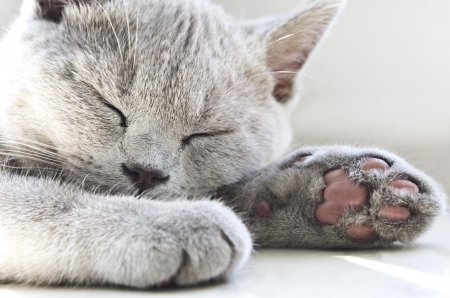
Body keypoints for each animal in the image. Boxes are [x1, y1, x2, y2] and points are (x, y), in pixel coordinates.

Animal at [0, 0, 444, 288]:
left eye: (207, 133)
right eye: (107, 102)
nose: (146, 171)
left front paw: (338, 195)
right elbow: (37, 194)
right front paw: (167, 223)